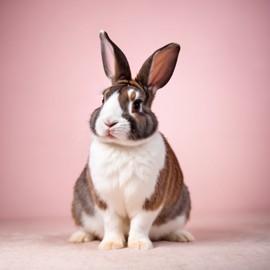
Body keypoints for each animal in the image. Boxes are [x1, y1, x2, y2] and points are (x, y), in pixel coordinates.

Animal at [69, 30, 194, 250]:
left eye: (136, 104)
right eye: (103, 99)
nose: (109, 122)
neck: (122, 147)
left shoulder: (151, 200)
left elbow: (140, 223)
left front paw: (139, 245)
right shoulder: (104, 200)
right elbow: (112, 222)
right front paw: (111, 245)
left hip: (181, 205)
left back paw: (182, 236)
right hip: (79, 204)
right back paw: (79, 237)